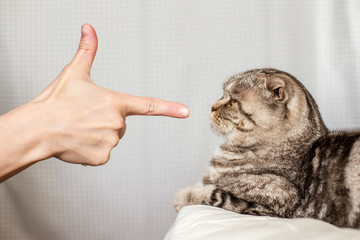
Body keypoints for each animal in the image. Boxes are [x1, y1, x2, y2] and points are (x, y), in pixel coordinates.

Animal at [174, 68, 360, 229]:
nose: (212, 107)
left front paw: (183, 196)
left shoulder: (274, 201)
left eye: (233, 101)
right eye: (222, 94)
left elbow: (212, 194)